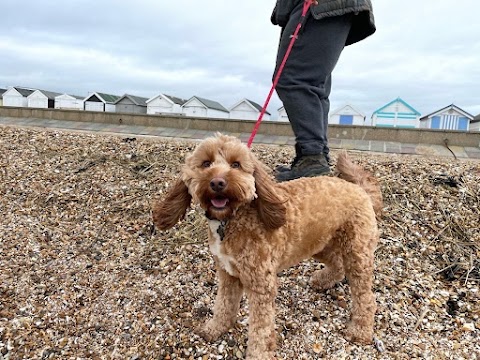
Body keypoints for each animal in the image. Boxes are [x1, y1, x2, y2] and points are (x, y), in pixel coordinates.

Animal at [154, 134, 382, 358]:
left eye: (236, 164)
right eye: (206, 163)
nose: (217, 182)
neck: (231, 219)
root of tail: (359, 189)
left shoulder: (260, 284)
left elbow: (260, 328)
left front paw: (258, 353)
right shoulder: (228, 275)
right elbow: (223, 305)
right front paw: (214, 328)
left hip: (357, 253)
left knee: (366, 297)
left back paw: (360, 331)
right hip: (319, 243)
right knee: (338, 264)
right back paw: (323, 280)